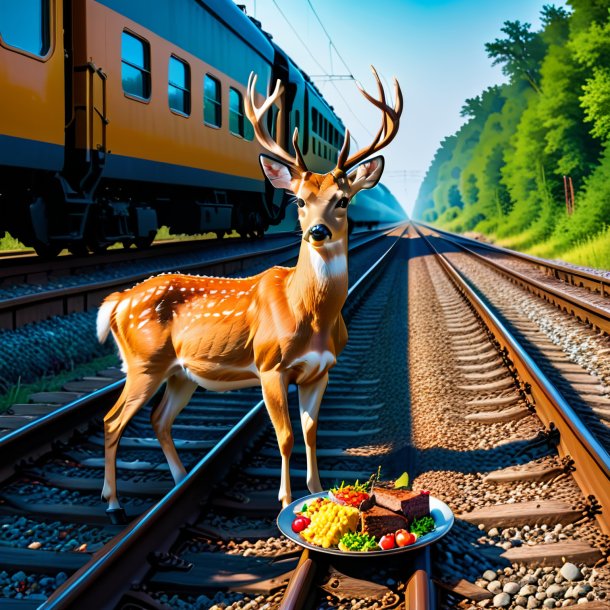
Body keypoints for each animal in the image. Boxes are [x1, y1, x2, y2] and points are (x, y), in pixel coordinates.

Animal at [96, 67, 400, 524]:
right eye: (299, 201)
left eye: (343, 200)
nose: (317, 232)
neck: (310, 315)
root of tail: (116, 302)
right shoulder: (270, 364)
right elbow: (285, 434)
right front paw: (285, 498)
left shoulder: (321, 369)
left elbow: (311, 431)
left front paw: (318, 491)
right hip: (143, 362)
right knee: (113, 421)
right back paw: (114, 505)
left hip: (180, 373)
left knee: (159, 420)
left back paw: (181, 483)